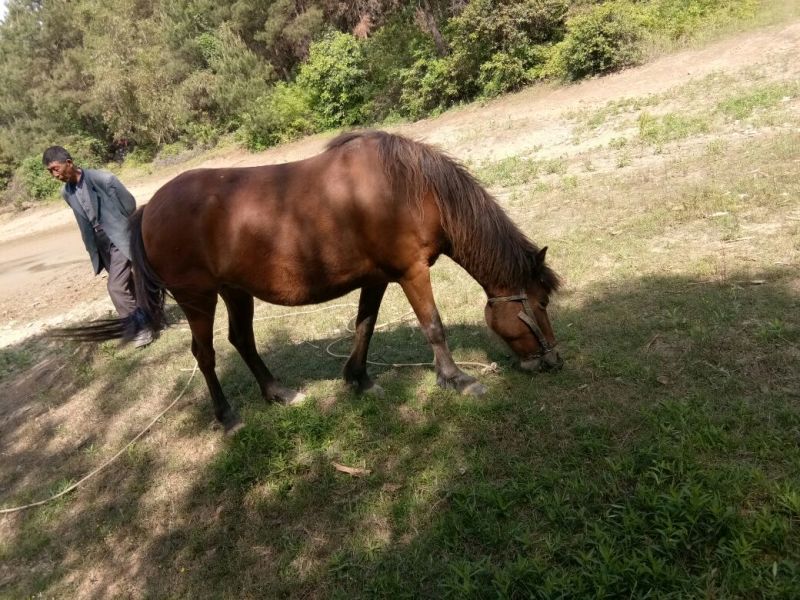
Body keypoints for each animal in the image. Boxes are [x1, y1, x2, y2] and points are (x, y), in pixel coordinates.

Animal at [57, 130, 563, 432]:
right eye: (539, 303)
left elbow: (364, 326)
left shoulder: (378, 278)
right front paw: (457, 379)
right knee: (205, 354)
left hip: (235, 292)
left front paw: (358, 379)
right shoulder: (411, 273)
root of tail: (148, 209)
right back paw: (227, 415)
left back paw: (278, 393)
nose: (553, 361)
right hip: (198, 298)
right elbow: (433, 327)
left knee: (242, 340)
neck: (412, 189)